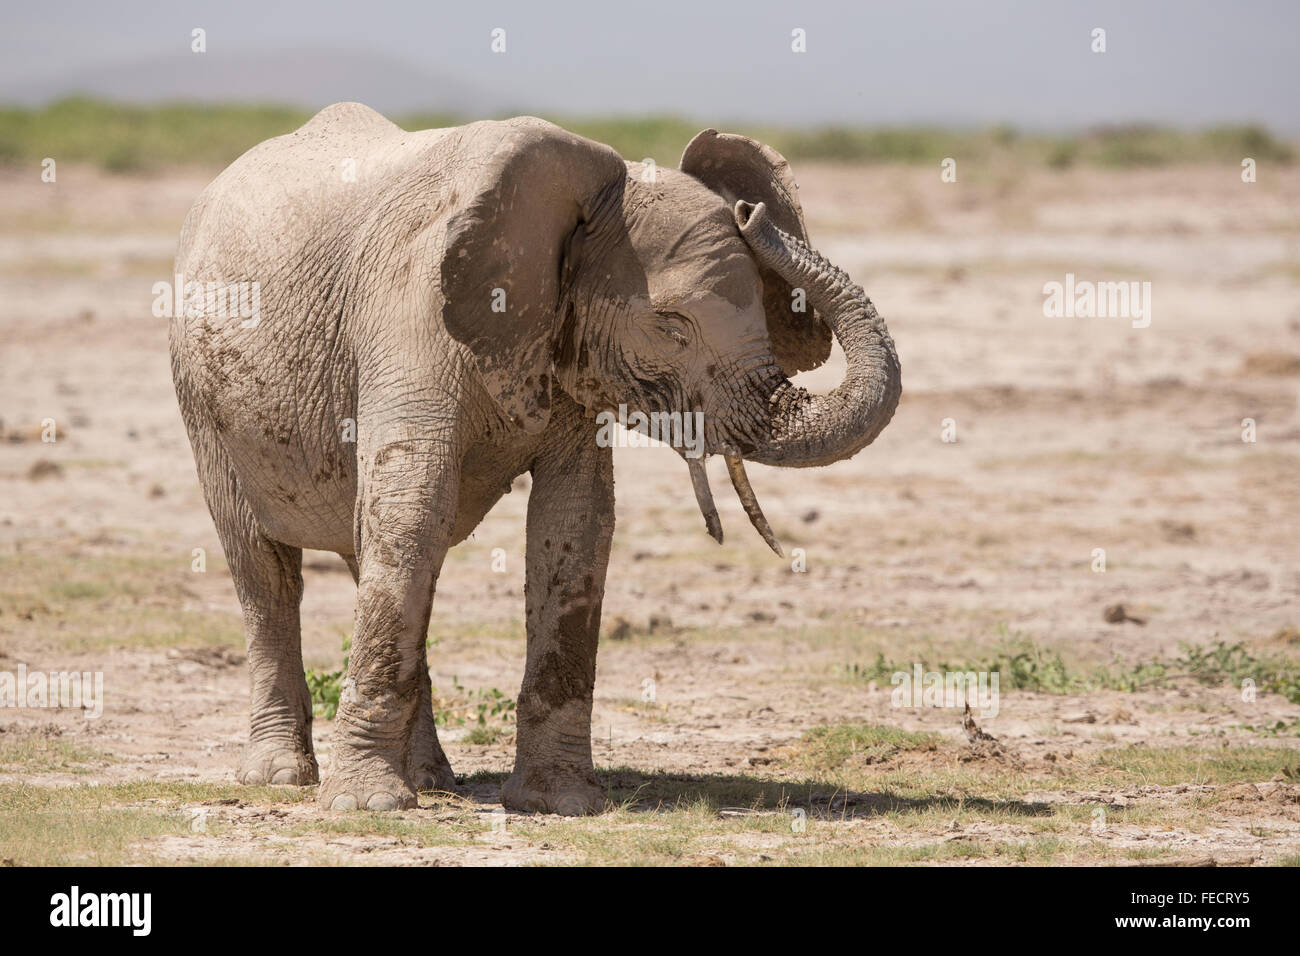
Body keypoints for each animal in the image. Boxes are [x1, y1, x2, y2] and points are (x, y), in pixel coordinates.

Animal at [170, 102, 904, 816]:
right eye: (672, 326)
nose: (751, 212)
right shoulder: (408, 313)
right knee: (267, 571)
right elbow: (414, 506)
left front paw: (562, 803)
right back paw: (283, 778)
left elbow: (574, 522)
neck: (588, 199)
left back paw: (433, 780)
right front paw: (364, 806)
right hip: (201, 400)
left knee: (368, 551)